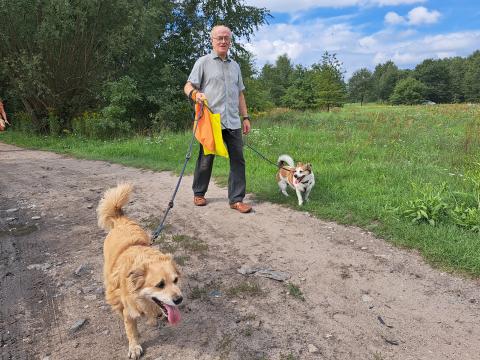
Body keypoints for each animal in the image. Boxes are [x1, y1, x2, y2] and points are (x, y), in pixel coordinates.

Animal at [96, 184, 183, 358]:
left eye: (176, 280)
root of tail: (121, 219)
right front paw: (134, 346)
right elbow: (131, 330)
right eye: (160, 285)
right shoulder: (128, 309)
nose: (179, 300)